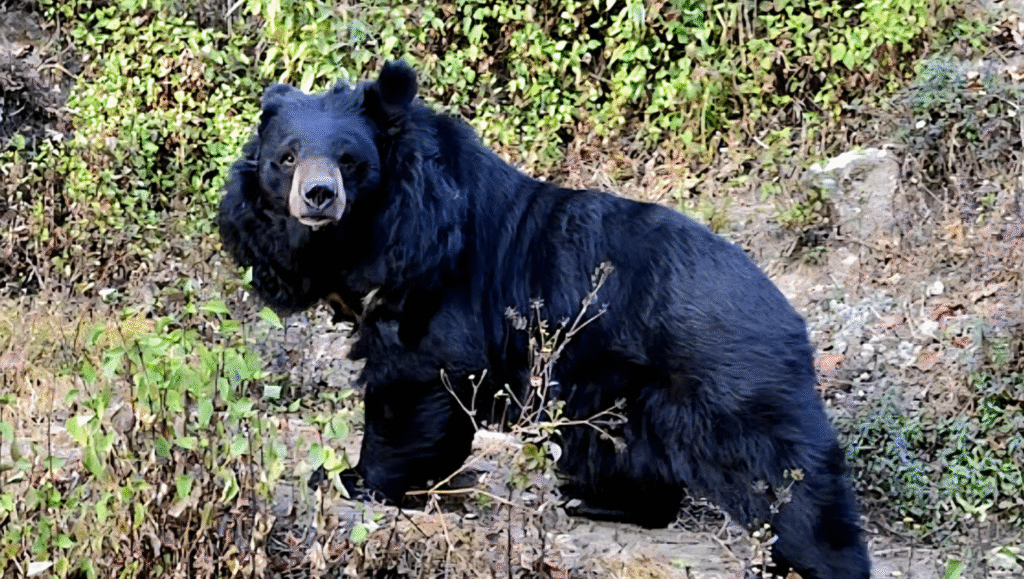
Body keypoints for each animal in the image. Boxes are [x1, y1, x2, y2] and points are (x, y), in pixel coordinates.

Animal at [218, 60, 871, 579]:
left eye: (350, 162)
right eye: (286, 158)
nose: (318, 197)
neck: (370, 233)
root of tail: (785, 307)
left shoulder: (435, 277)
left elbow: (417, 376)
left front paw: (353, 479)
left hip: (727, 381)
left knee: (786, 476)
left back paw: (823, 561)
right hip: (623, 389)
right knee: (621, 453)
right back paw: (598, 502)